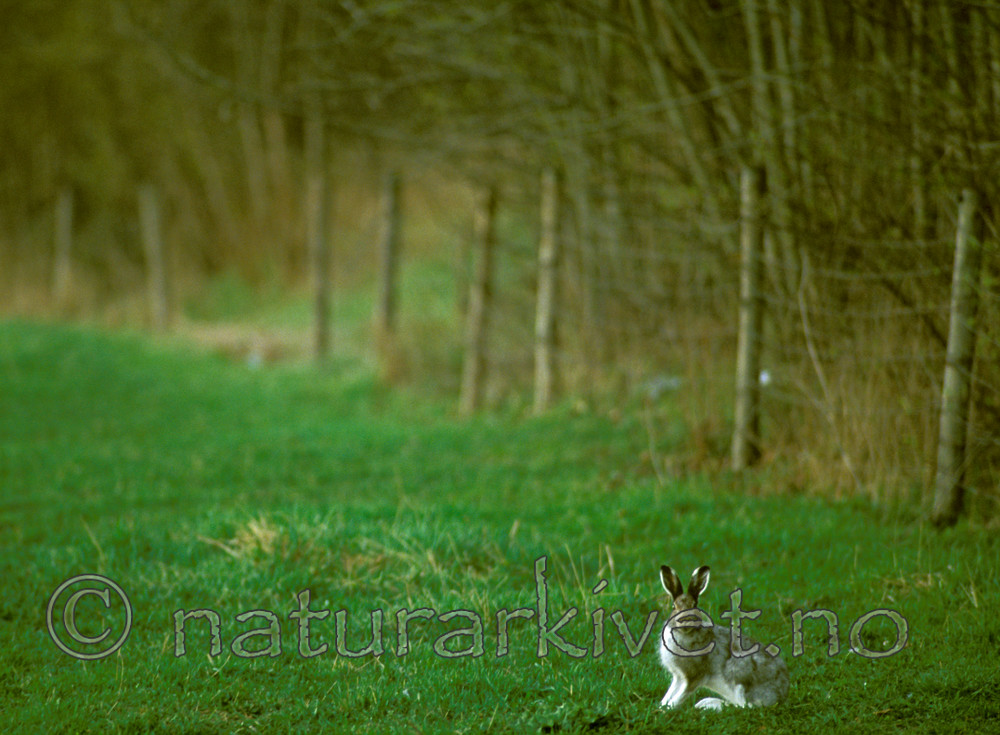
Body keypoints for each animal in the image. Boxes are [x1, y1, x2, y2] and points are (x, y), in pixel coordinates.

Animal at [658, 565, 789, 710]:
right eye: (673, 606)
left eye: (694, 605)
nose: (686, 621)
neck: (685, 634)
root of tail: (782, 695)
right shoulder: (678, 677)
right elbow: (671, 692)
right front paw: (661, 706)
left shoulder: (695, 677)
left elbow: (679, 696)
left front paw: (665, 709)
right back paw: (705, 703)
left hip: (738, 677)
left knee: (745, 706)